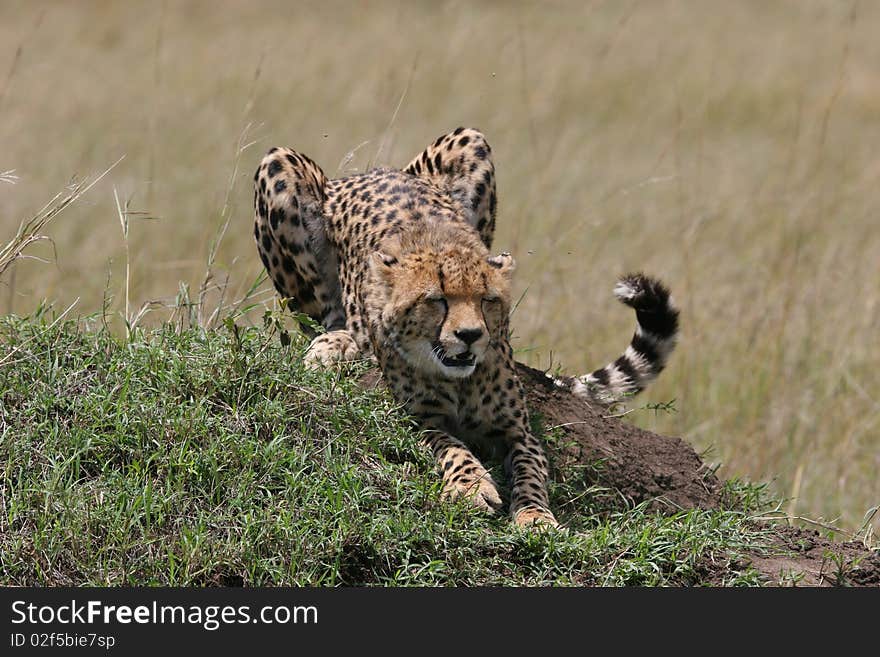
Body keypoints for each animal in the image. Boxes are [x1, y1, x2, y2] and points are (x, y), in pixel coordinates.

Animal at [254, 128, 680, 528]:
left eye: (487, 300)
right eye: (436, 299)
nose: (470, 336)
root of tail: (370, 172)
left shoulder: (517, 430)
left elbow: (530, 469)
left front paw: (535, 515)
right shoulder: (417, 418)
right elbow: (453, 447)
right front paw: (472, 486)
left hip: (470, 140)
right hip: (278, 165)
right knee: (324, 316)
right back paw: (336, 344)